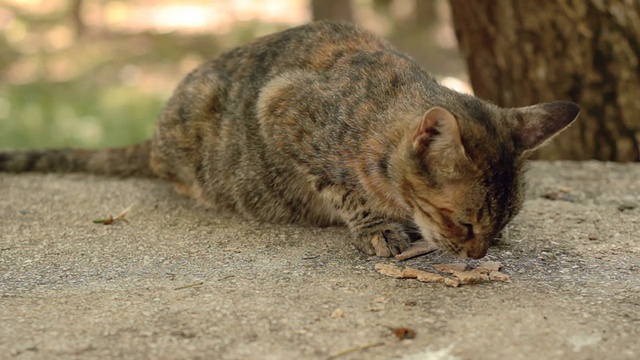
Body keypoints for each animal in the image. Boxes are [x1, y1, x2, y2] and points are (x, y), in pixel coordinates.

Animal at [1, 21, 580, 258]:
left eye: (502, 221)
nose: (479, 255)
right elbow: (341, 187)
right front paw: (375, 224)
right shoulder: (279, 106)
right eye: (462, 223)